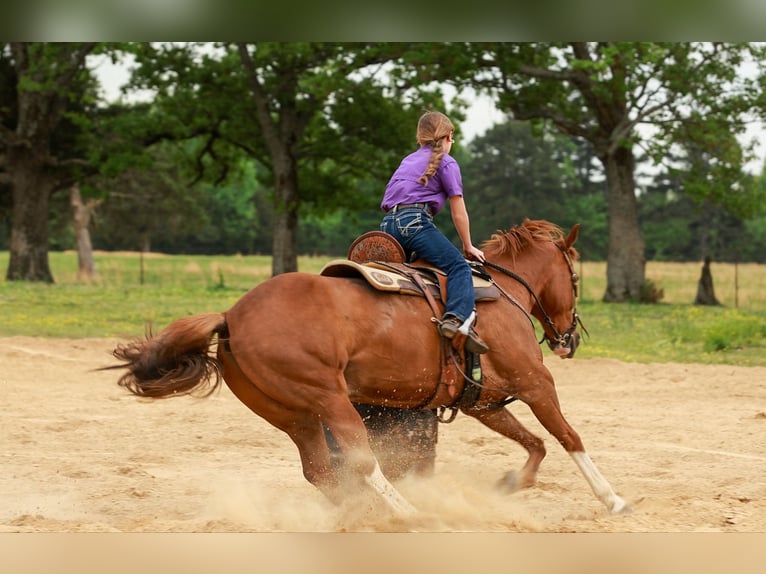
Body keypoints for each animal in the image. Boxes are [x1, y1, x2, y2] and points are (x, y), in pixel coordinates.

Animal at [108, 219, 630, 516]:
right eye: (575, 277)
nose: (570, 339)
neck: (501, 293)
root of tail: (231, 316)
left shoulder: (481, 401)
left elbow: (534, 442)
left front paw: (512, 483)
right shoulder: (537, 383)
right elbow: (568, 437)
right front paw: (613, 499)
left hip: (293, 415)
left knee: (321, 471)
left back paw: (363, 516)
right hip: (330, 399)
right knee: (361, 461)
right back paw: (409, 514)